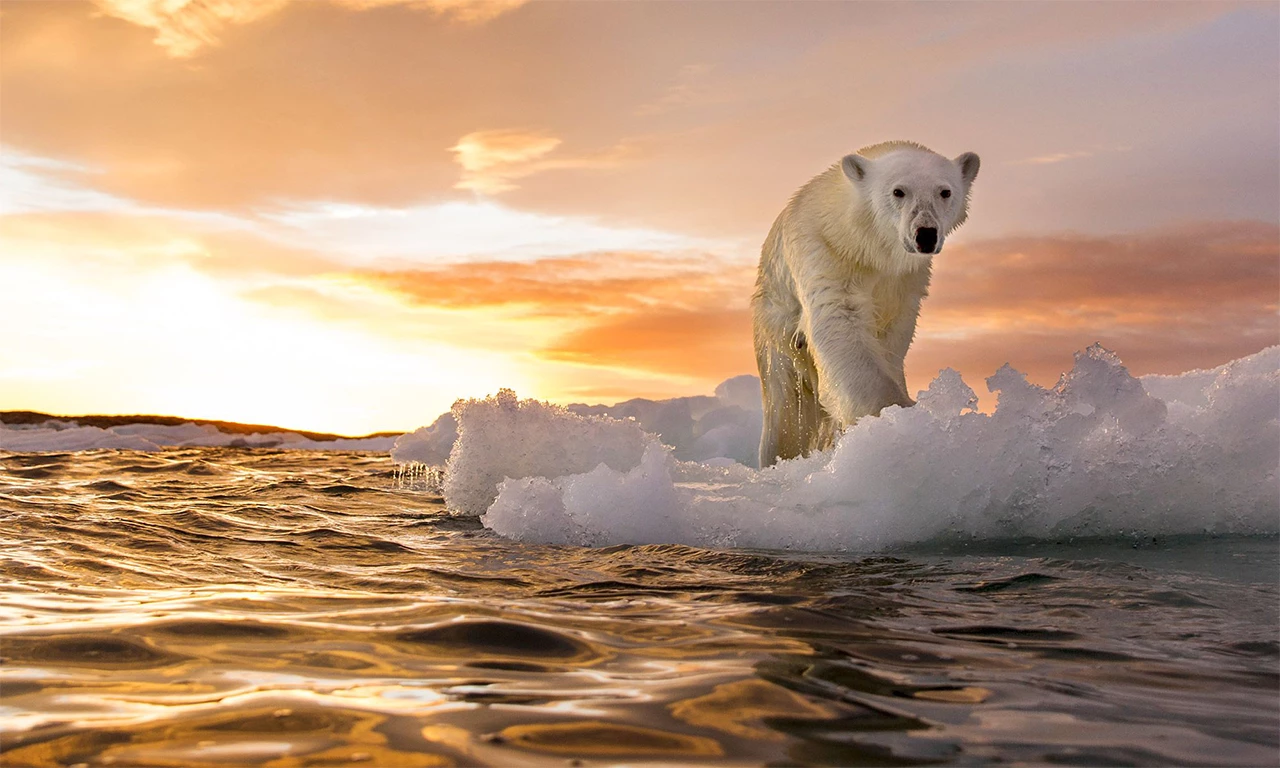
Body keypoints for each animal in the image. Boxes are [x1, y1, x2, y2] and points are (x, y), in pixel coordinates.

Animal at [747, 140, 977, 465]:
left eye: (944, 191)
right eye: (898, 191)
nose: (925, 234)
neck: (866, 247)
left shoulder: (905, 281)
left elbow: (892, 336)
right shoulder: (826, 253)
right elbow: (840, 322)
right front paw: (897, 417)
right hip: (776, 333)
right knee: (786, 414)